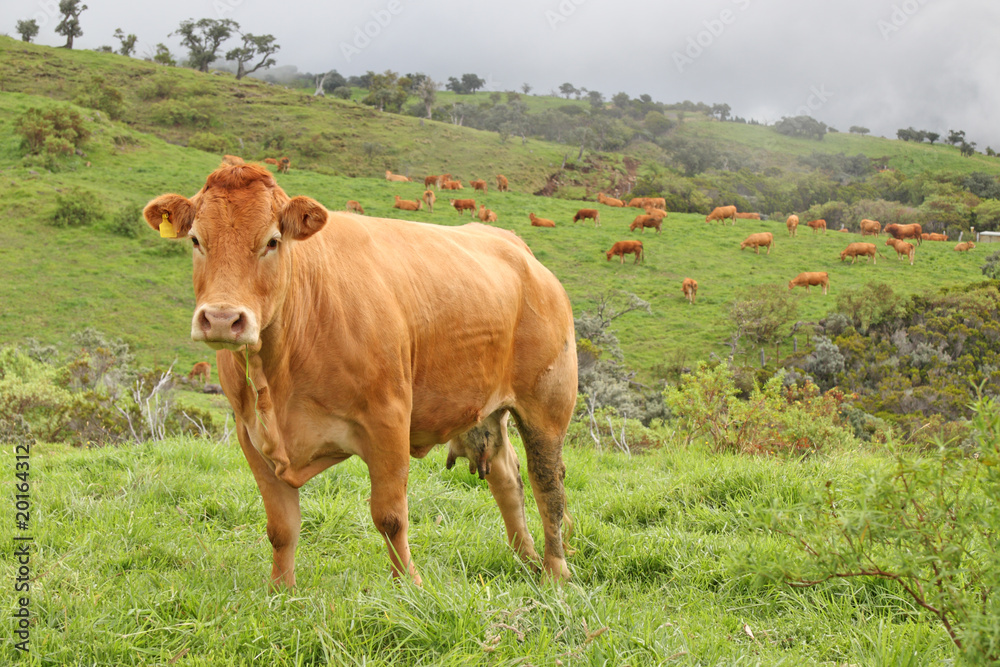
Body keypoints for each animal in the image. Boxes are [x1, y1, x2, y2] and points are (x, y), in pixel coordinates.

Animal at [144, 164, 576, 588]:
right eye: (196, 240)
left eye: (272, 241)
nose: (222, 319)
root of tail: (516, 247)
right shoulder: (250, 434)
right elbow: (281, 528)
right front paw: (281, 591)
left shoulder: (389, 421)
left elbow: (390, 516)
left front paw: (410, 588)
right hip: (485, 408)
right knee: (507, 478)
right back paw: (525, 559)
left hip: (546, 406)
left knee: (548, 485)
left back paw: (555, 572)